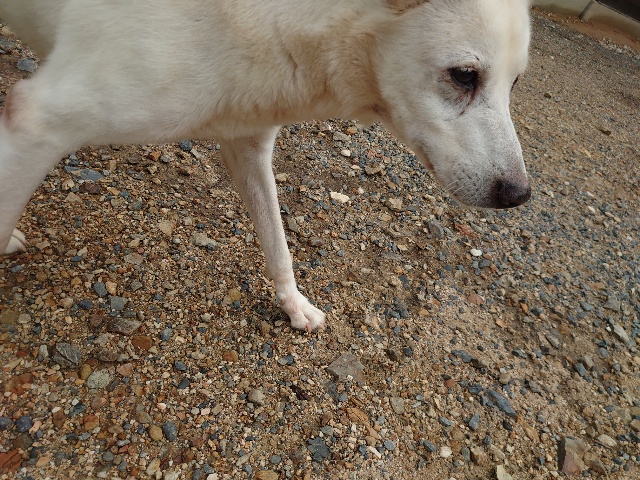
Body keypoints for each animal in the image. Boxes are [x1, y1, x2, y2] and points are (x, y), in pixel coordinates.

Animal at [0, 0, 532, 332]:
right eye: (464, 75)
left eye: (515, 82)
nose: (519, 194)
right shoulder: (37, 121)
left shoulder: (248, 147)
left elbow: (278, 245)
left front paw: (295, 306)